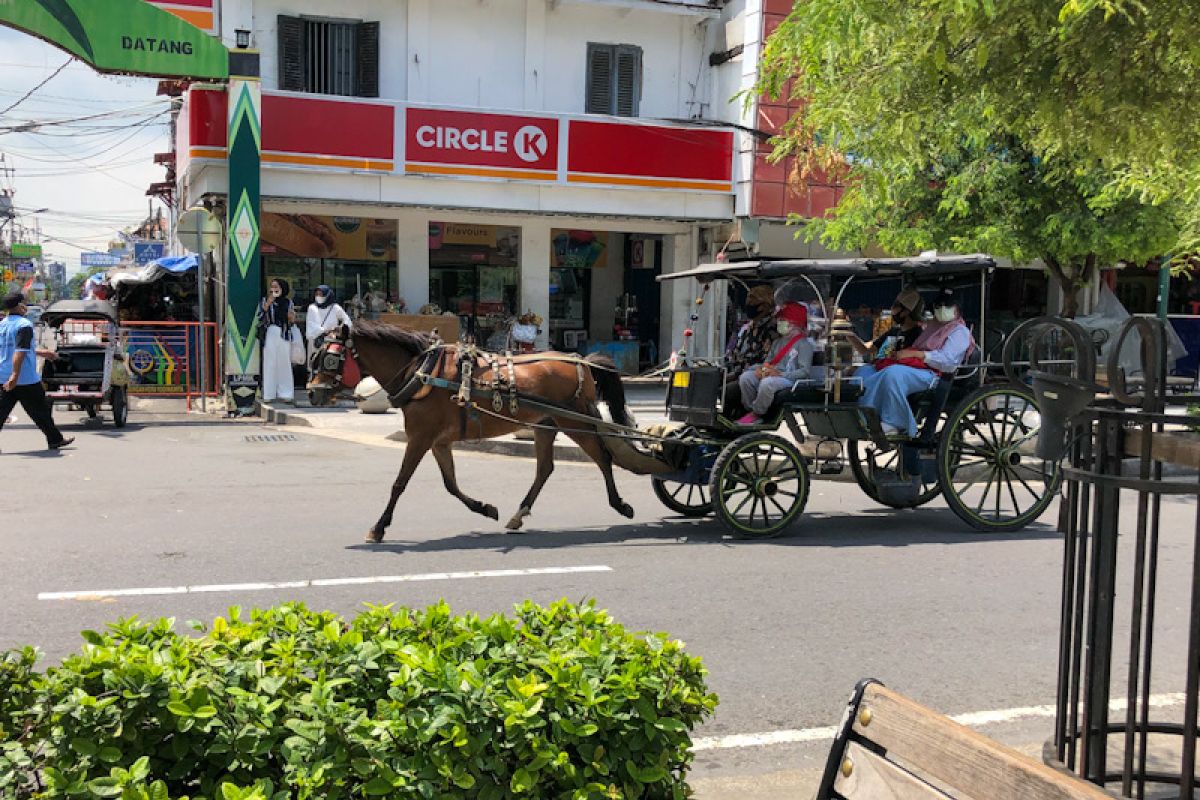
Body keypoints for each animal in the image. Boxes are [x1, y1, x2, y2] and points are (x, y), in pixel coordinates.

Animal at [312, 321, 667, 544]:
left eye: (330, 358)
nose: (313, 393)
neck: (422, 371)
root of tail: (580, 360)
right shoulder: (438, 441)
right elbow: (451, 485)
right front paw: (485, 508)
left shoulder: (420, 438)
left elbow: (400, 483)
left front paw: (378, 527)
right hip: (546, 425)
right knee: (545, 469)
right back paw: (518, 514)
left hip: (576, 422)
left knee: (602, 457)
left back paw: (620, 505)